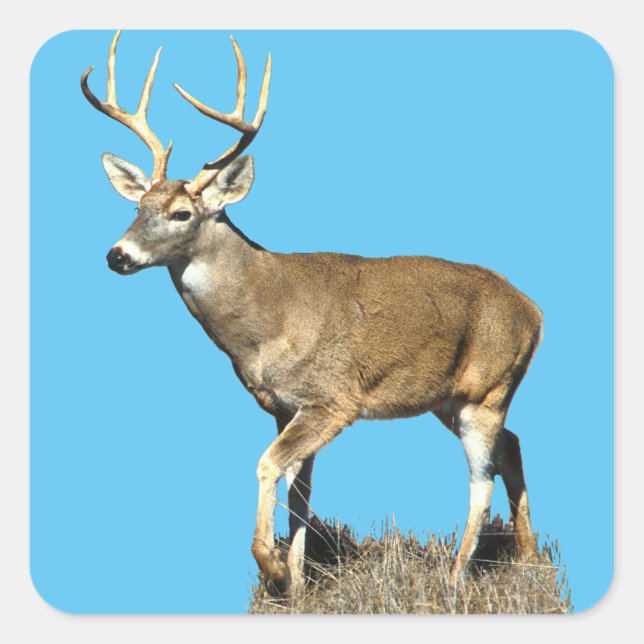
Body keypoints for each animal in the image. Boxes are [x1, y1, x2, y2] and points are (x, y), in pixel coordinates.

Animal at [81, 30, 543, 596]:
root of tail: (535, 310)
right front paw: (298, 583)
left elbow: (267, 465)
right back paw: (529, 558)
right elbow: (299, 491)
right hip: (450, 397)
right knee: (513, 446)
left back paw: (456, 576)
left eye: (181, 213)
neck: (266, 321)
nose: (117, 256)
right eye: (137, 208)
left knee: (482, 476)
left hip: (487, 388)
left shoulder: (333, 398)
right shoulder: (284, 405)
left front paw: (275, 567)